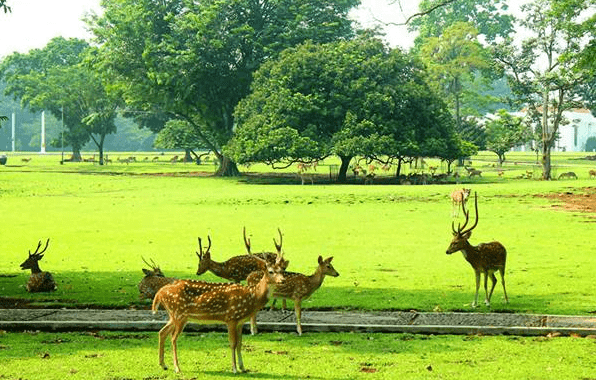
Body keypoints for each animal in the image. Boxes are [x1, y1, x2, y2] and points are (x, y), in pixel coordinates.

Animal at [152, 238, 286, 374]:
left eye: (282, 270)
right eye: (271, 271)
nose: (283, 280)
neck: (252, 297)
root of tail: (160, 292)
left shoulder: (241, 321)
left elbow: (240, 343)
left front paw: (243, 367)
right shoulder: (231, 318)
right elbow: (232, 343)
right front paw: (234, 368)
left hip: (174, 315)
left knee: (162, 332)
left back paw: (163, 364)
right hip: (179, 314)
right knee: (173, 337)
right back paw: (177, 367)